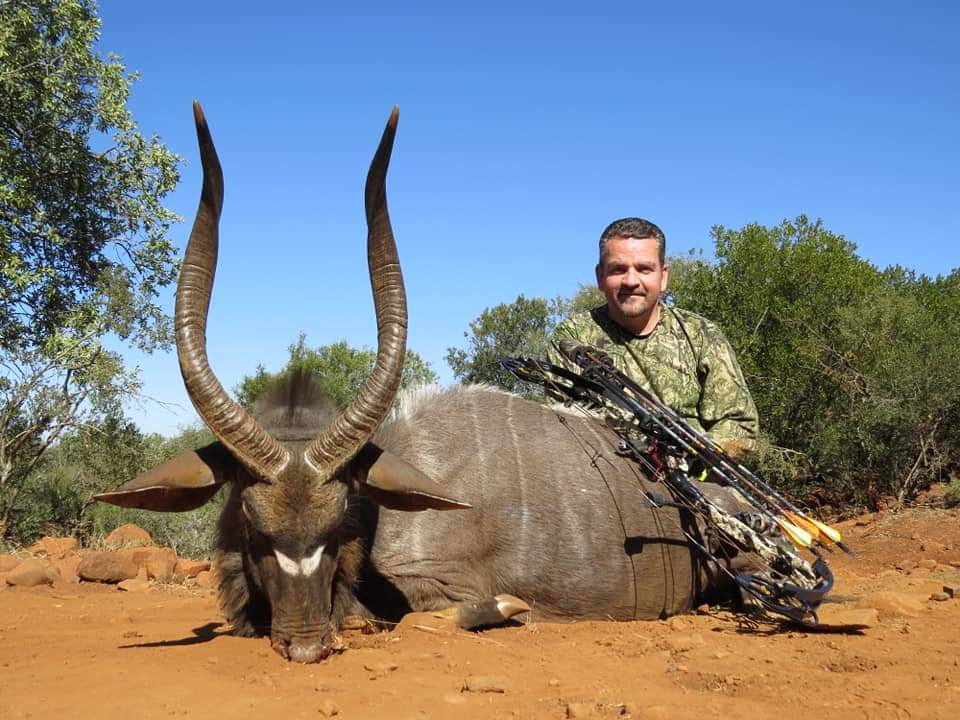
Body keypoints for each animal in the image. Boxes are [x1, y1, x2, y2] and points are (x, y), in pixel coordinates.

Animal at [96, 103, 748, 664]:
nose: (306, 646)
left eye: (337, 526)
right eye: (257, 530)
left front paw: (511, 609)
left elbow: (425, 618)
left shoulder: (445, 585)